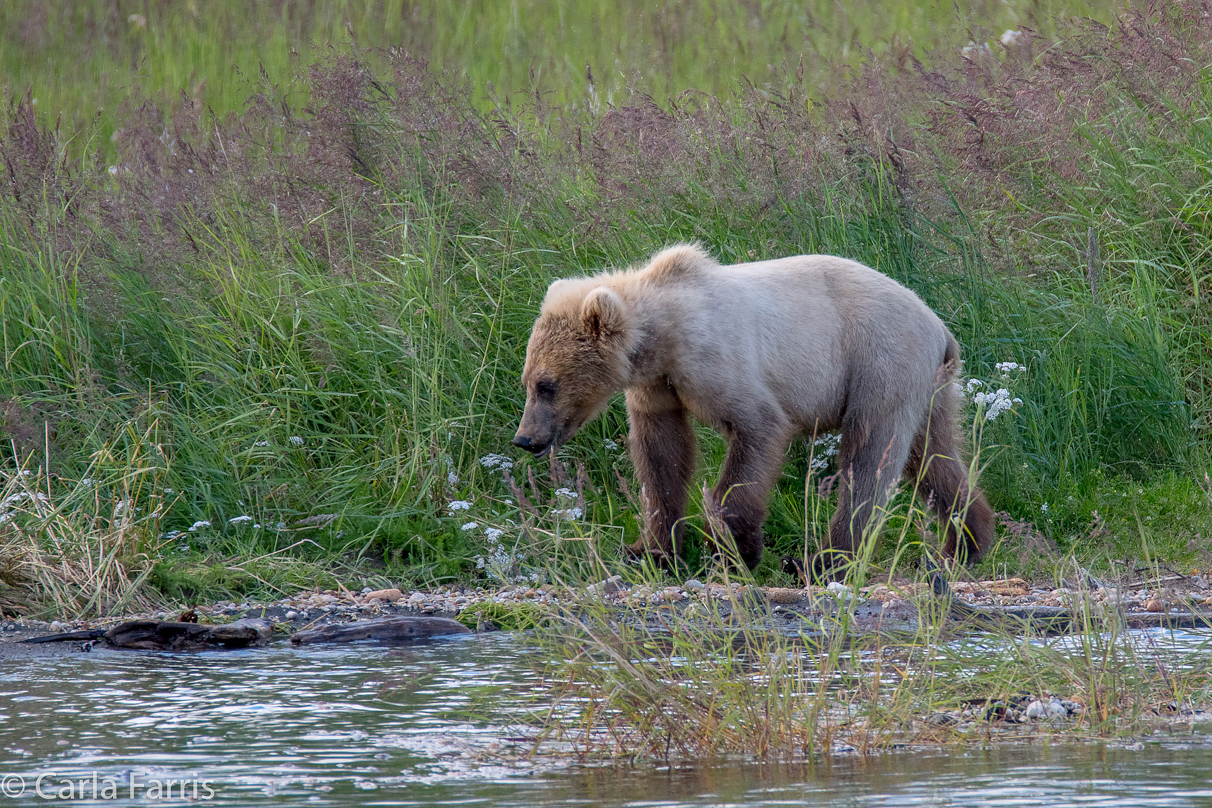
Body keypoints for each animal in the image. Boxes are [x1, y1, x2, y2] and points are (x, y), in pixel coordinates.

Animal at [511, 247, 993, 574]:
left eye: (547, 385)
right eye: (528, 381)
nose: (525, 439)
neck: (664, 336)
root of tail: (939, 326)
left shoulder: (716, 363)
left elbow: (757, 432)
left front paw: (734, 549)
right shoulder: (658, 388)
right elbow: (662, 457)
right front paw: (650, 550)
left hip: (880, 359)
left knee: (871, 452)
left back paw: (820, 560)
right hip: (930, 387)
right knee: (932, 456)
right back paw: (969, 540)